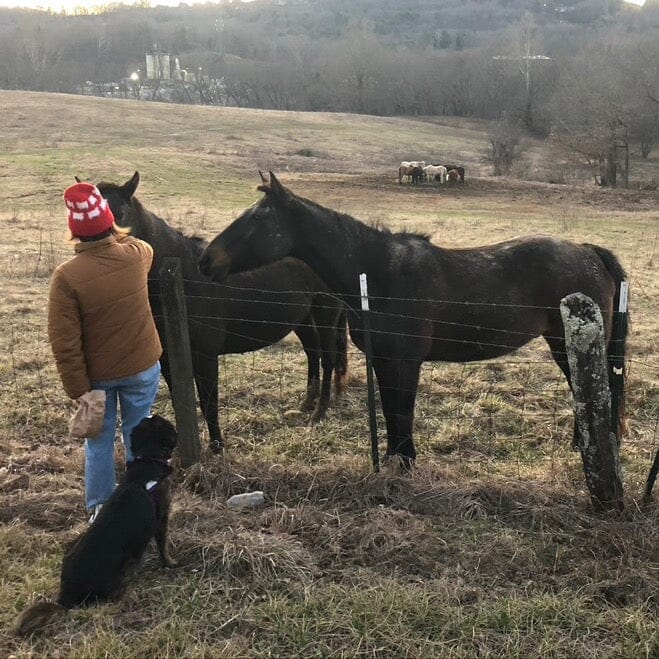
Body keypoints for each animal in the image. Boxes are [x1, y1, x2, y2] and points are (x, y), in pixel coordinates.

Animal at [17, 416, 178, 636]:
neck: (147, 461)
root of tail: (65, 595)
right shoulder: (161, 517)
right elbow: (163, 545)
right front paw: (169, 563)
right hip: (125, 562)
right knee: (112, 595)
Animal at [96, 173, 350, 454]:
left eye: (120, 213)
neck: (184, 277)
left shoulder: (206, 356)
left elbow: (209, 402)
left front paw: (217, 446)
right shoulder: (169, 360)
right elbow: (179, 400)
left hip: (326, 314)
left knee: (327, 358)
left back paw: (320, 411)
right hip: (303, 319)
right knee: (313, 353)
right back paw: (307, 403)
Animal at [200, 173, 628, 466]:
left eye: (257, 220)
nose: (206, 260)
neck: (378, 274)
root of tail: (587, 251)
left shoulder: (405, 361)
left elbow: (402, 410)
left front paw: (405, 461)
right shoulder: (383, 360)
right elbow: (391, 411)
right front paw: (394, 458)